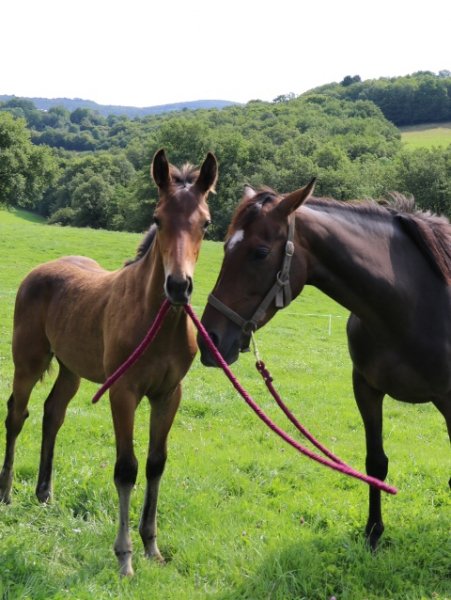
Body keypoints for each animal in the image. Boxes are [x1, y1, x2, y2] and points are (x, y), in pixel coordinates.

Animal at [0, 148, 218, 576]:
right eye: (157, 218)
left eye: (206, 222)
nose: (178, 286)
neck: (157, 321)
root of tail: (39, 271)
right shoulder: (123, 392)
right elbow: (126, 468)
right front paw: (125, 557)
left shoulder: (169, 394)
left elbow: (155, 463)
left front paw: (152, 547)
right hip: (28, 360)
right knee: (17, 414)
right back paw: (6, 493)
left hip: (70, 369)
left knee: (53, 413)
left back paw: (44, 493)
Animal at [198, 181, 451, 550]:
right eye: (226, 246)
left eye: (260, 252)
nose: (209, 339)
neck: (415, 303)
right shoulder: (366, 389)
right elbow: (375, 463)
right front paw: (373, 533)